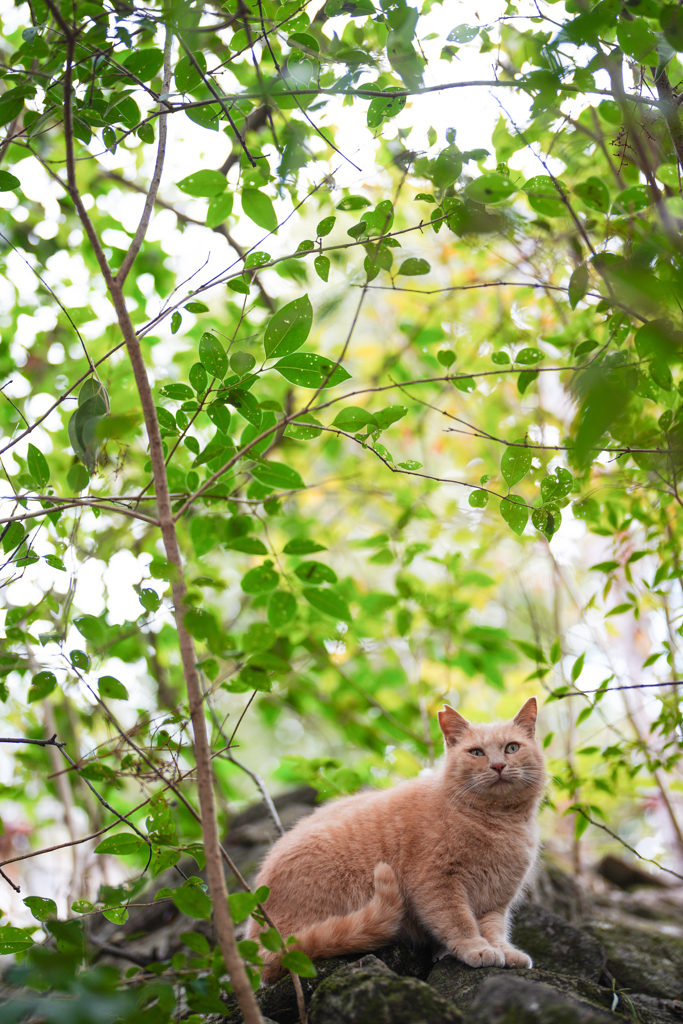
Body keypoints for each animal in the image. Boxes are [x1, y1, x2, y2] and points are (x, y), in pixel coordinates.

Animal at [248, 696, 548, 983]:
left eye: (512, 748)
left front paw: (505, 952)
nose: (498, 765)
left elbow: (495, 930)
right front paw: (477, 948)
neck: (498, 823)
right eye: (476, 752)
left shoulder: (496, 900)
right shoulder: (437, 882)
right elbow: (459, 922)